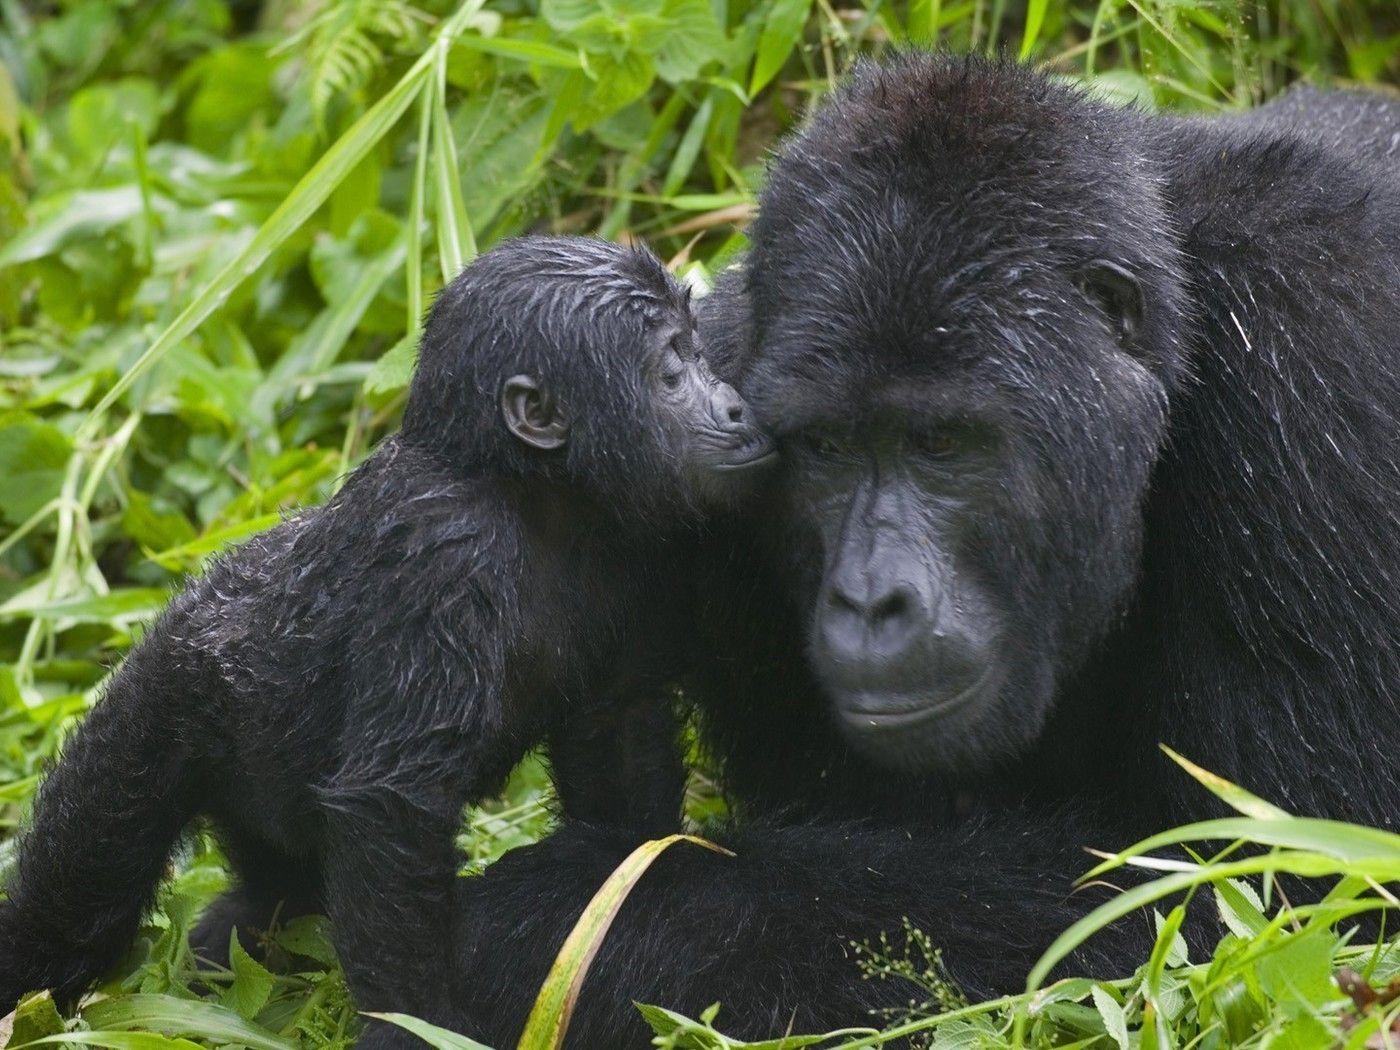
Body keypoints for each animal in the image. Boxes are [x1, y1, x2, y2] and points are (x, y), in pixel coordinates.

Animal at [0, 233, 778, 1047]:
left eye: (699, 351)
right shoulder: (444, 558)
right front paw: (416, 1023)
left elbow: (619, 741)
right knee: (84, 879)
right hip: (164, 701)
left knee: (274, 895)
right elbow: (392, 805)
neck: (528, 490)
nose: (734, 404)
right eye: (670, 371)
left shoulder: (642, 553)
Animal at [450, 59, 1400, 1050]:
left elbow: (1264, 888)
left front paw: (559, 918)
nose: (870, 600)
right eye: (825, 448)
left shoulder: (1311, 348)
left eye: (941, 443)